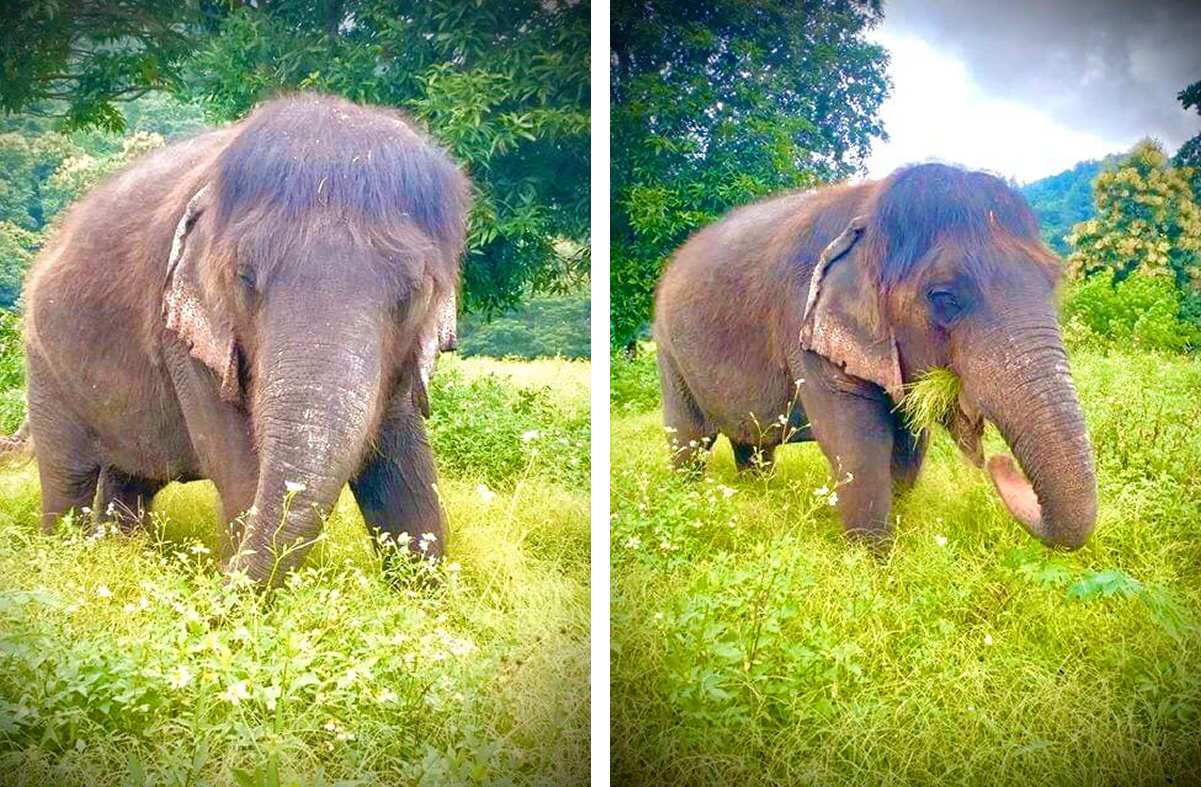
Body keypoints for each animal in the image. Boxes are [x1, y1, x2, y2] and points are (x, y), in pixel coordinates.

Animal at [19, 93, 468, 583]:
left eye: (414, 293)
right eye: (244, 278)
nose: (217, 583)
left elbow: (406, 472)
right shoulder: (183, 338)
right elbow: (242, 471)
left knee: (132, 480)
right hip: (44, 365)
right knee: (69, 477)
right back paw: (63, 556)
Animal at [658, 163, 1100, 550]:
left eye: (1053, 281)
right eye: (945, 298)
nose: (999, 464)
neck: (870, 209)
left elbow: (907, 447)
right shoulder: (805, 328)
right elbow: (858, 448)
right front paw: (873, 564)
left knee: (752, 444)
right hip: (667, 350)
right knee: (689, 440)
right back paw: (688, 502)